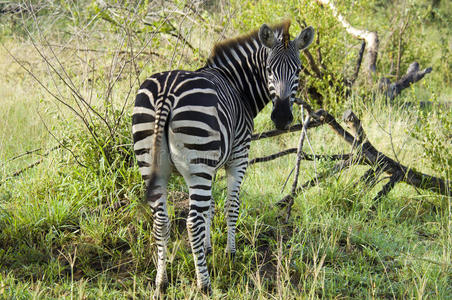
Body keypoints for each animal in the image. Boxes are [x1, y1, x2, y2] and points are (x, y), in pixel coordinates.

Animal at [132, 20, 312, 292]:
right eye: (269, 70)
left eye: (298, 70)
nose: (281, 118)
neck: (237, 85)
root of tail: (167, 92)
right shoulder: (238, 156)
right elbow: (231, 205)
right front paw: (230, 253)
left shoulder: (212, 164)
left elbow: (210, 206)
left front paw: (207, 249)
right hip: (198, 162)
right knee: (191, 222)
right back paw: (204, 284)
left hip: (152, 163)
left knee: (161, 220)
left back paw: (161, 282)